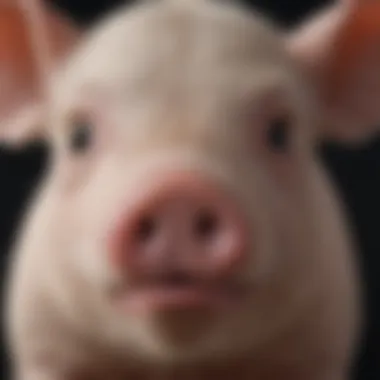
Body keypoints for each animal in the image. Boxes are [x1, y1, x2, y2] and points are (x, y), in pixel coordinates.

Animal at [2, 0, 380, 378]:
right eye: (79, 135)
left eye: (280, 132)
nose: (178, 193)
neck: (179, 363)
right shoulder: (44, 344)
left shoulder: (320, 347)